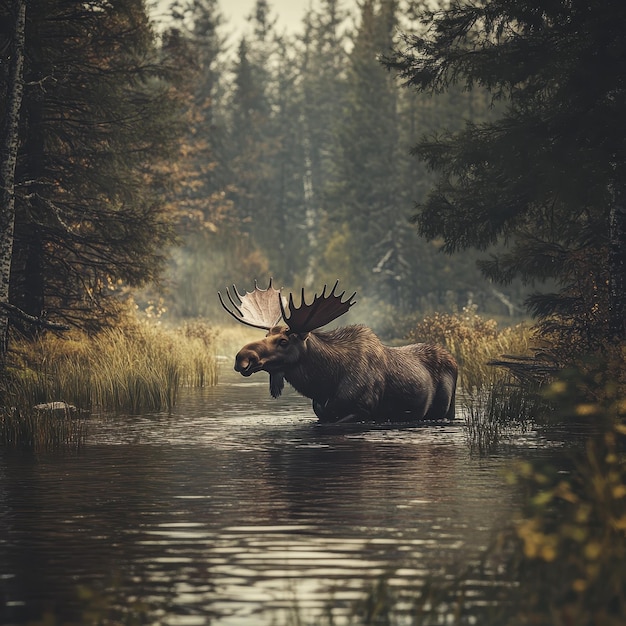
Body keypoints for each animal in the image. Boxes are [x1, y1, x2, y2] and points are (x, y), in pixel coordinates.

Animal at [217, 280, 456, 422]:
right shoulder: (322, 412)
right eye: (267, 336)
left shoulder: (361, 410)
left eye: (283, 341)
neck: (325, 383)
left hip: (443, 408)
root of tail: (454, 361)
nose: (242, 358)